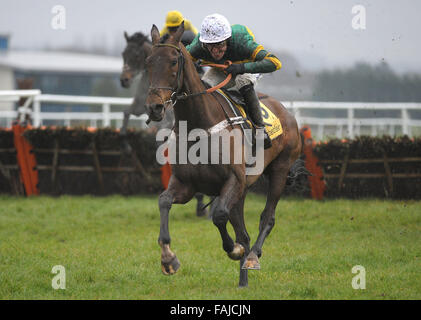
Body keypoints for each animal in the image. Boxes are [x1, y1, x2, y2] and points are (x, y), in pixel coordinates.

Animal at [145, 22, 302, 288]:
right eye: (147, 61)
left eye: (173, 62)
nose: (154, 107)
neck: (198, 125)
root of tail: (287, 112)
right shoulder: (186, 184)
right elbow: (164, 201)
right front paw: (168, 259)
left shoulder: (233, 181)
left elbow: (218, 215)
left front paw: (234, 250)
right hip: (243, 191)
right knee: (244, 232)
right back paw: (243, 281)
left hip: (279, 170)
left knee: (267, 217)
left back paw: (252, 257)